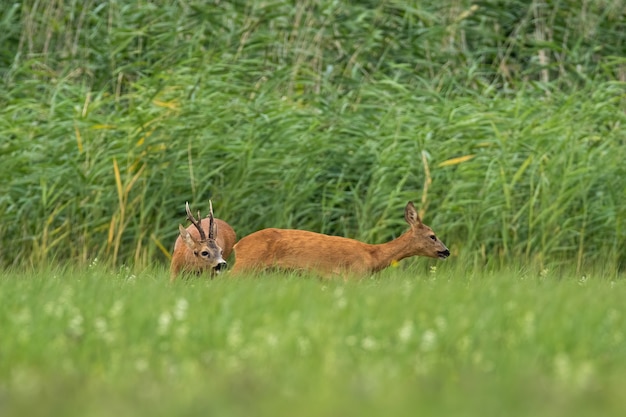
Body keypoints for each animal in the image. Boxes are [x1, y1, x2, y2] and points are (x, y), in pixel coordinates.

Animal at [229, 201, 448, 276]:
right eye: (432, 236)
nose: (446, 251)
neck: (373, 256)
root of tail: (238, 245)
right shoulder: (354, 276)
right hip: (247, 264)